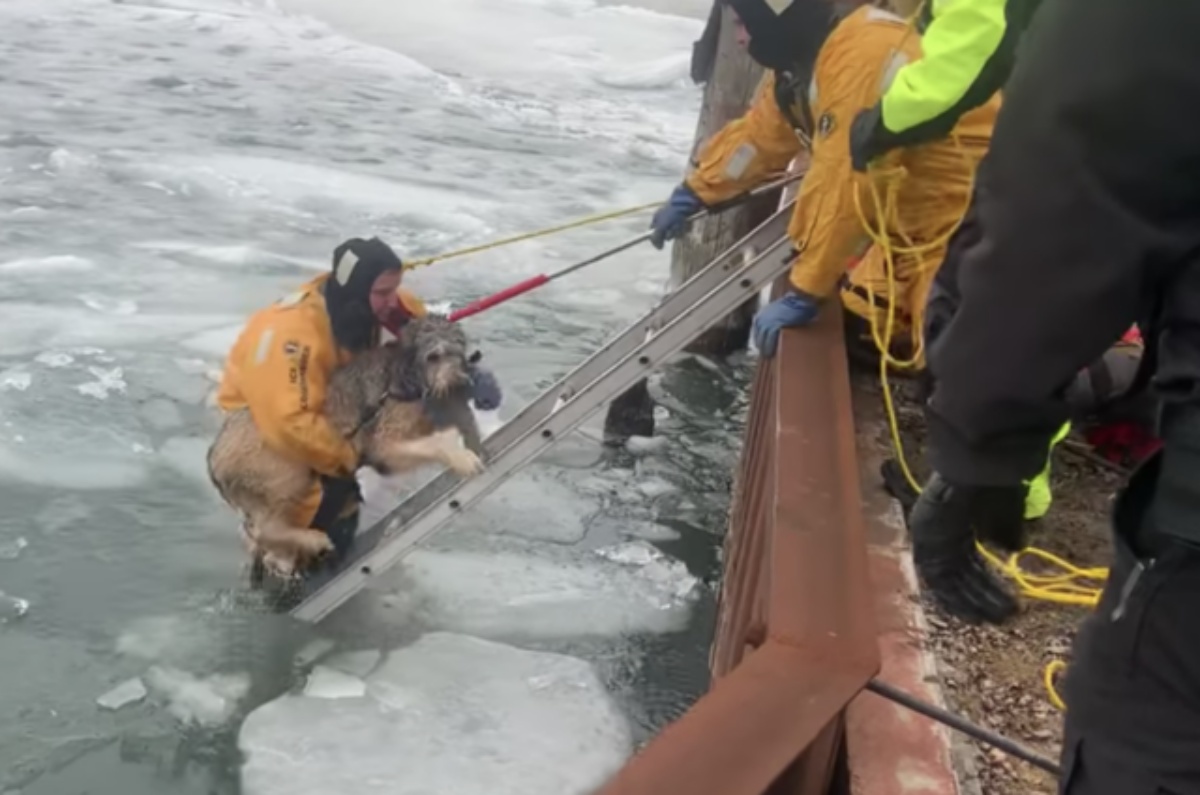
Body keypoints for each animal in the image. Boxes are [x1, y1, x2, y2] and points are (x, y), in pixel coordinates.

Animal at [207, 314, 487, 583]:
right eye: (433, 356)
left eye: (459, 350)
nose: (462, 381)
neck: (407, 375)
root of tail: (214, 462)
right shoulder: (383, 442)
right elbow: (431, 444)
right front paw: (461, 458)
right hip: (284, 473)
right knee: (265, 528)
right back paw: (314, 540)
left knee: (254, 535)